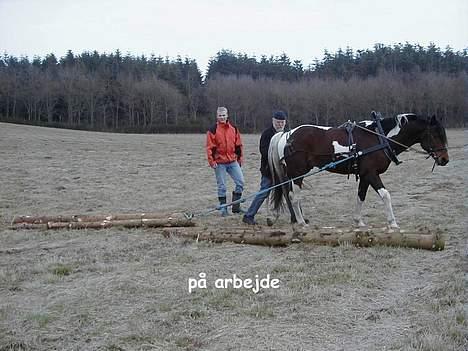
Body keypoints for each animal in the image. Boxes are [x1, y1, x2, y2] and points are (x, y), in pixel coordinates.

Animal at [270, 113, 450, 228]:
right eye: (435, 135)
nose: (444, 159)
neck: (379, 138)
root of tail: (287, 135)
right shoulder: (371, 174)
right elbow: (386, 195)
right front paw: (393, 223)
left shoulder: (364, 175)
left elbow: (361, 196)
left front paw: (359, 221)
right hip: (297, 174)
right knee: (294, 197)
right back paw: (301, 222)